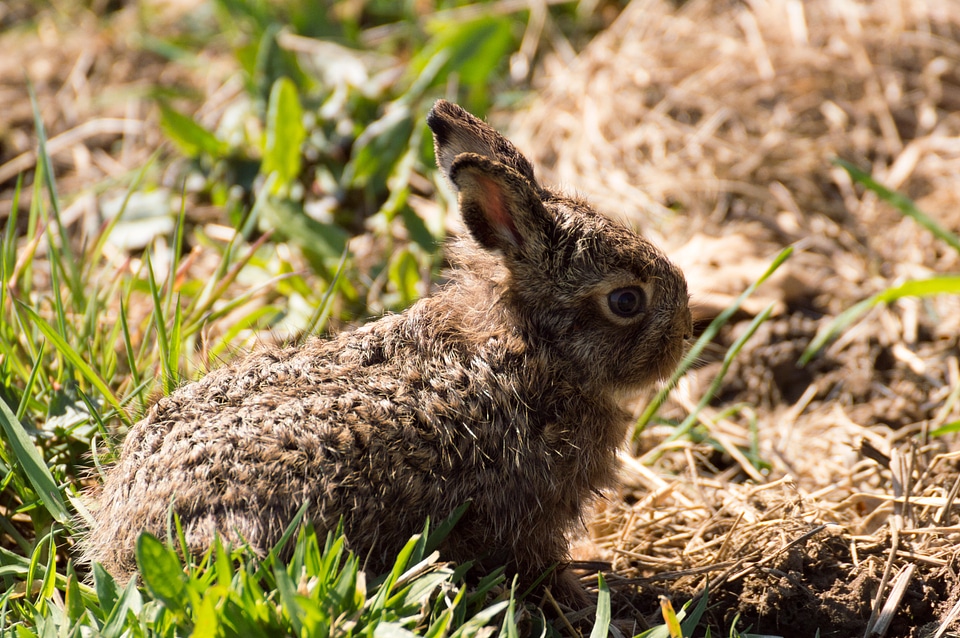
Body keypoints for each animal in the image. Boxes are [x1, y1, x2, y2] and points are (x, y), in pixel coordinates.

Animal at [82, 100, 692, 608]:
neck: (532, 344)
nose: (686, 333)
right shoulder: (528, 512)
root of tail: (123, 536)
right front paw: (589, 602)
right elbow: (536, 562)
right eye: (626, 301)